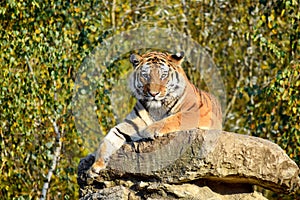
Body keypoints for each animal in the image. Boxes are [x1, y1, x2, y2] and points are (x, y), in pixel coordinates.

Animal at [88, 50, 221, 177]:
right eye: (146, 75)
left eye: (163, 75)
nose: (153, 93)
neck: (157, 107)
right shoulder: (131, 123)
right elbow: (109, 139)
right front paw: (95, 166)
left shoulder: (199, 113)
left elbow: (175, 118)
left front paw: (151, 129)